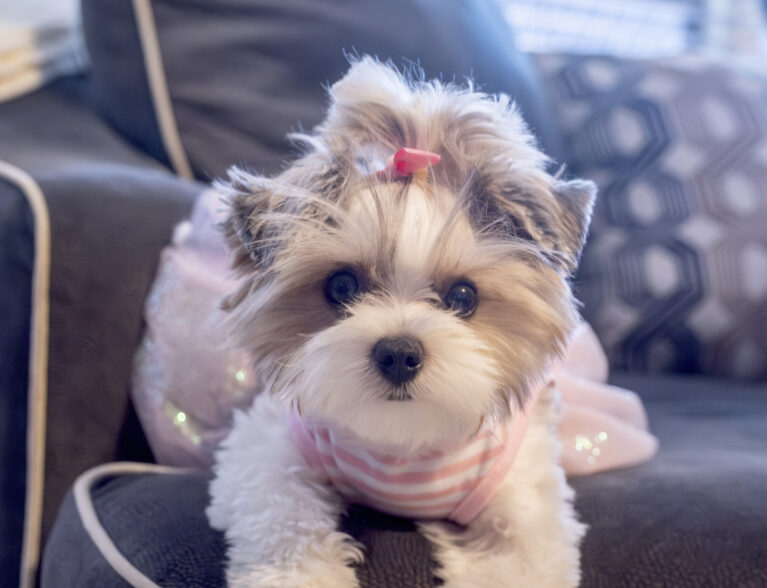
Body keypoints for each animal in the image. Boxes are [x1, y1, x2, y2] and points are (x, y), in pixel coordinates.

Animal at [207, 56, 596, 588]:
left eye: (462, 297)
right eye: (342, 287)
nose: (398, 353)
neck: (402, 444)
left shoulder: (527, 509)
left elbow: (516, 559)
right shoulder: (268, 448)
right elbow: (282, 513)